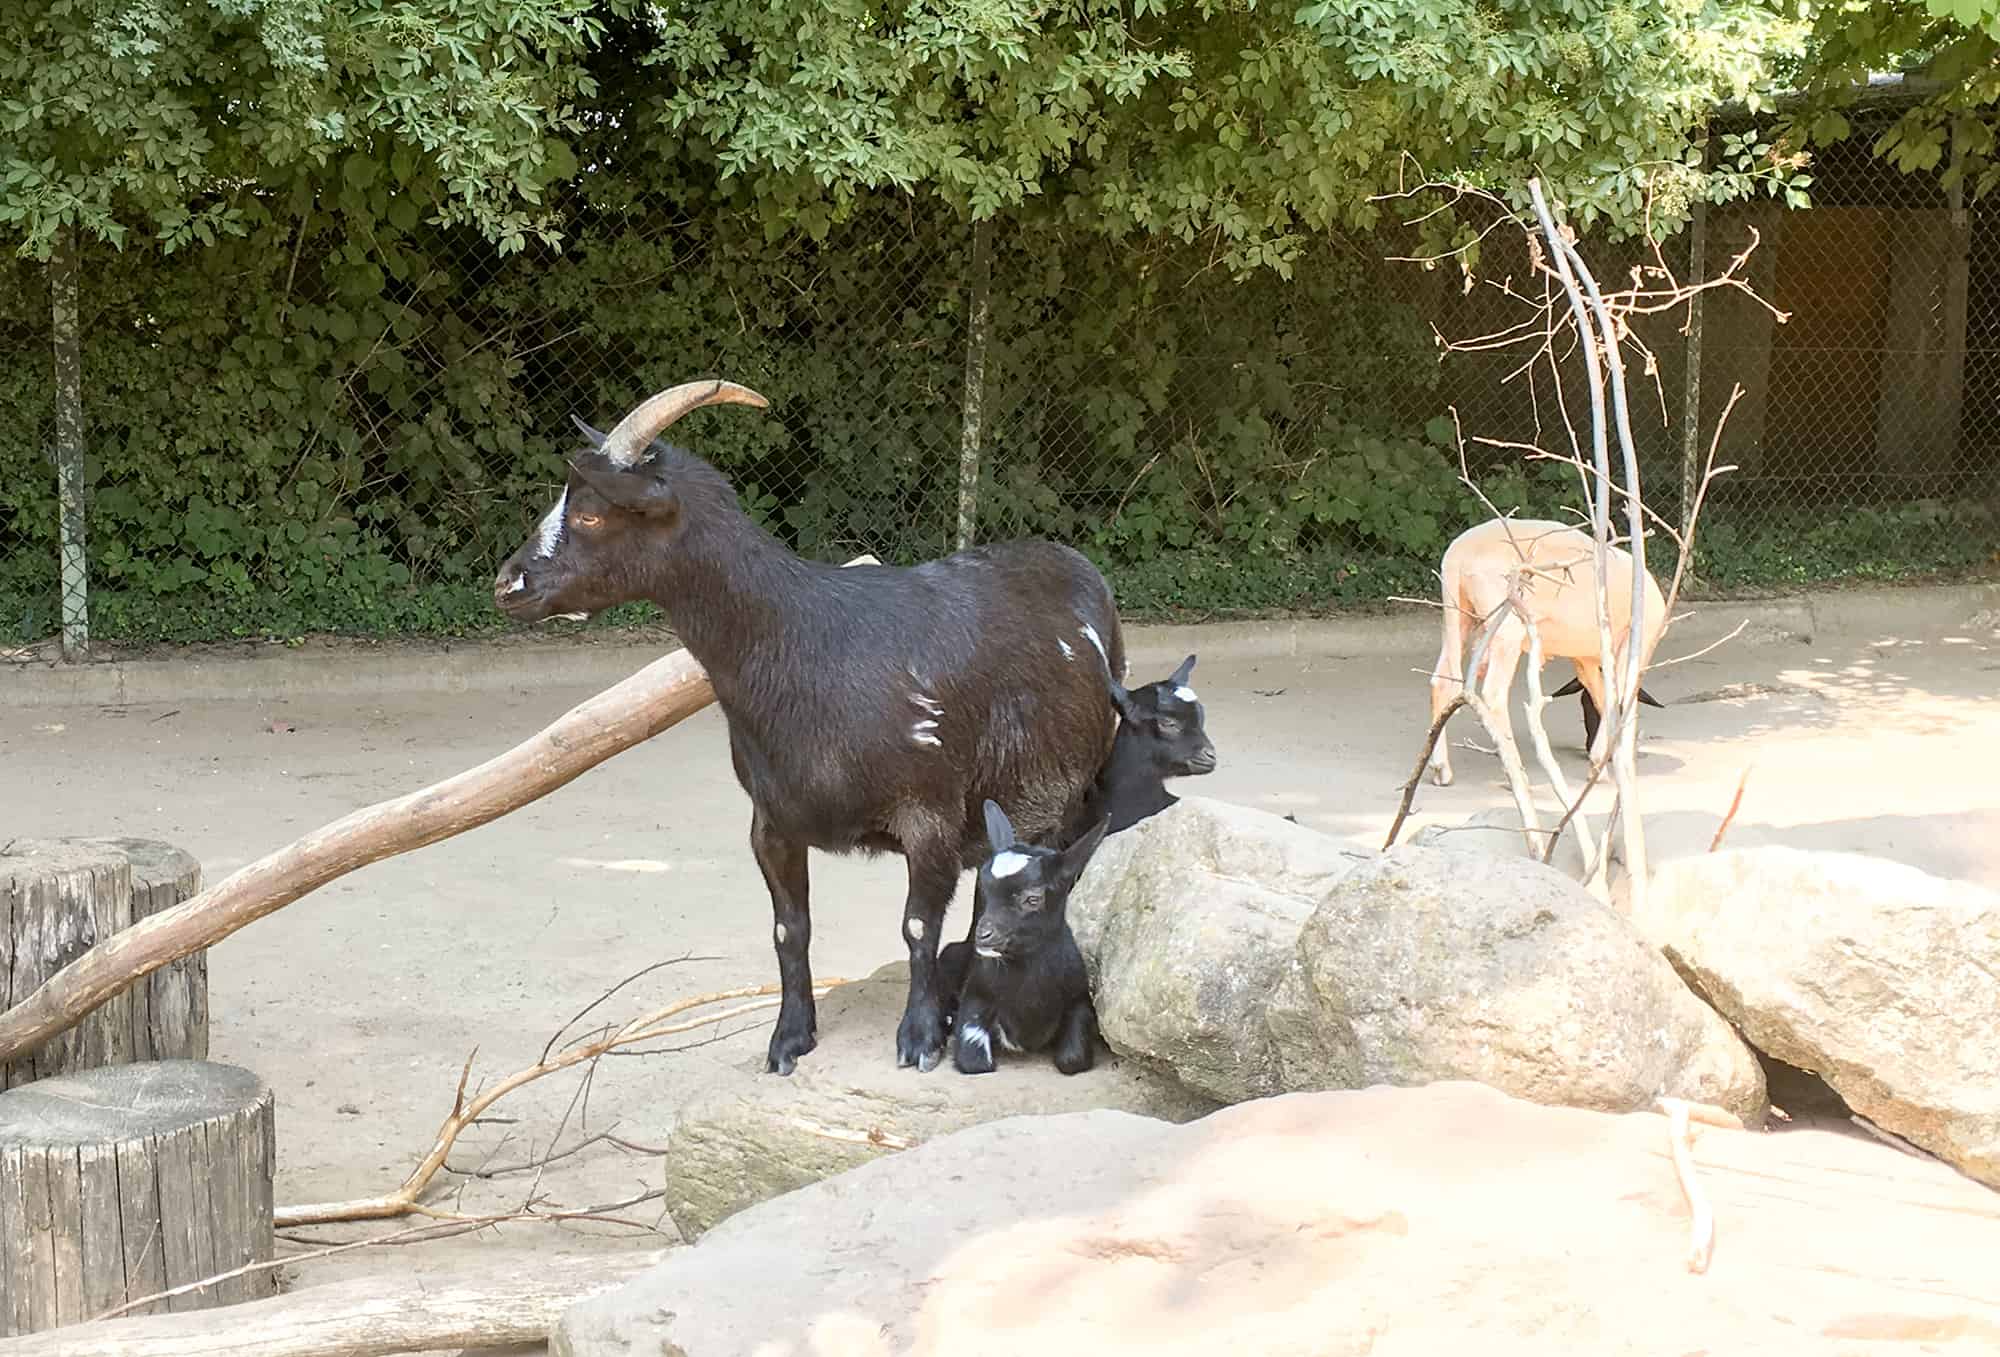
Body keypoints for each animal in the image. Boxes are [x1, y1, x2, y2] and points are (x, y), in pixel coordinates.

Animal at [494, 380, 1128, 1072]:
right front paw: (789, 1039)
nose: (506, 585)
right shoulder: (770, 820)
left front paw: (919, 1038)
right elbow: (787, 930)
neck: (808, 645)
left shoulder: (930, 812)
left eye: (590, 514)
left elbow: (916, 926)